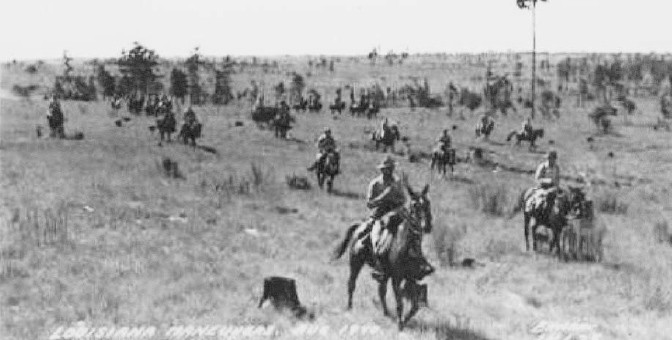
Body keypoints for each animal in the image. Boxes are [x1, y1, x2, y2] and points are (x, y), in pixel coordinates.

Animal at [332, 183, 436, 330]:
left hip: (384, 274)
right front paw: (400, 324)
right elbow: (400, 302)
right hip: (356, 262)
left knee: (381, 291)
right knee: (352, 284)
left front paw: (404, 320)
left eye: (428, 203)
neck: (406, 246)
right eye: (415, 205)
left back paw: (386, 313)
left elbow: (415, 304)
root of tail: (360, 226)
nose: (427, 225)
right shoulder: (396, 279)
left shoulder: (410, 278)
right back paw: (349, 307)